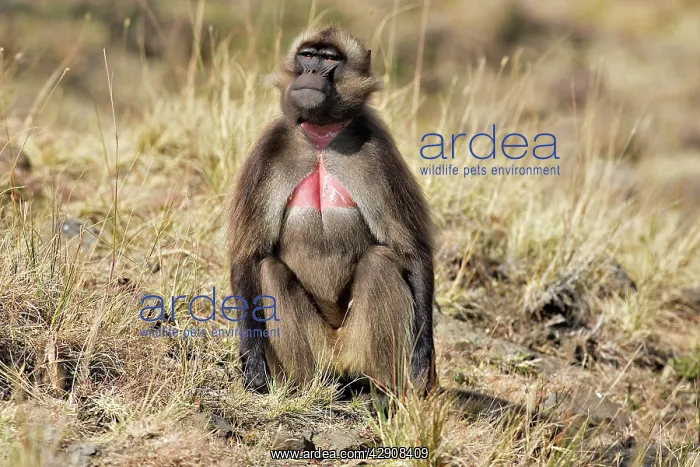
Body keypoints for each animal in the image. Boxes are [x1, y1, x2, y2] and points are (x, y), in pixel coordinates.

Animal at [227, 26, 436, 397]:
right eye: (308, 55)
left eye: (329, 59)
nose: (311, 72)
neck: (322, 138)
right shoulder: (268, 151)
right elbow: (249, 256)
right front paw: (252, 361)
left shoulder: (379, 150)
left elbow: (412, 251)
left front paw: (424, 358)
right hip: (315, 350)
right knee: (269, 270)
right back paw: (307, 386)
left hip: (357, 345)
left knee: (379, 262)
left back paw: (381, 391)